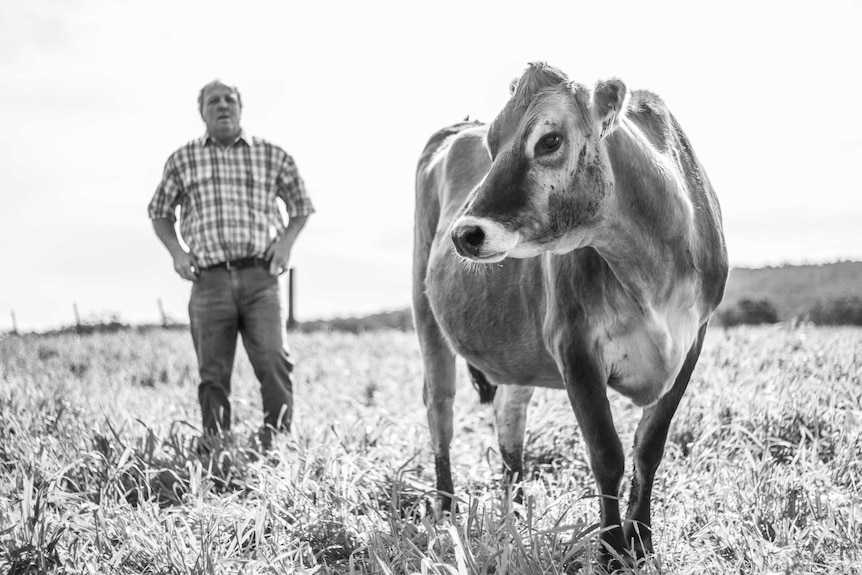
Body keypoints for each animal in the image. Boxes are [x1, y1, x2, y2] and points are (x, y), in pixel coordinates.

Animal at [412, 62, 728, 568]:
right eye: (492, 144)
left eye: (549, 140)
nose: (464, 234)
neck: (651, 264)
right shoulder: (574, 345)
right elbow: (607, 454)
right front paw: (610, 549)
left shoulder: (692, 340)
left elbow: (649, 448)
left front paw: (642, 543)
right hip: (426, 315)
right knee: (439, 405)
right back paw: (445, 509)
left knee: (510, 412)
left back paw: (517, 512)